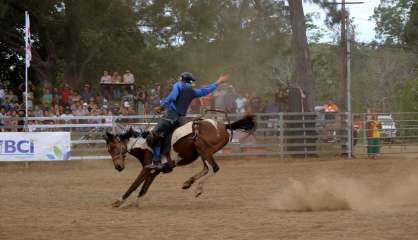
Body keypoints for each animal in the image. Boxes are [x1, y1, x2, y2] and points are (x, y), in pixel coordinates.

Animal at [104, 115, 255, 207]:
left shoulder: (147, 168)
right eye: (109, 150)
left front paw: (118, 202)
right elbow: (144, 189)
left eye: (112, 147)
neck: (145, 144)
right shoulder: (154, 171)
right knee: (206, 168)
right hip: (203, 153)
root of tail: (223, 126)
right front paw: (135, 204)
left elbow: (134, 185)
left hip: (203, 149)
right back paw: (188, 183)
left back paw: (198, 188)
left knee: (214, 168)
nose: (118, 167)